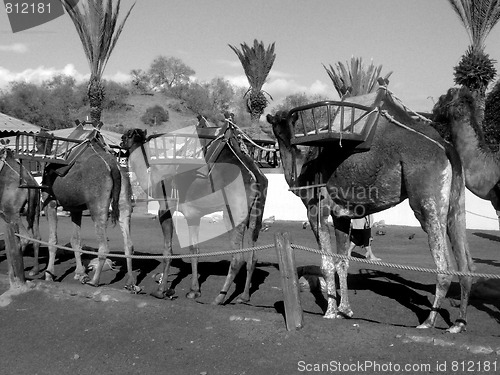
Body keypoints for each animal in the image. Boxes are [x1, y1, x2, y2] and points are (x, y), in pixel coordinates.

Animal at [120, 122, 268, 306]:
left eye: (129, 134)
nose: (121, 141)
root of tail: (255, 175)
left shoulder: (165, 208)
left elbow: (167, 250)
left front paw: (160, 291)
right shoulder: (193, 215)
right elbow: (194, 249)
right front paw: (193, 291)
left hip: (233, 210)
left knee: (238, 257)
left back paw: (219, 298)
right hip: (256, 213)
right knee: (252, 254)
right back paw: (244, 296)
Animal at [268, 86, 474, 334]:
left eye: (286, 123)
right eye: (277, 126)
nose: (283, 137)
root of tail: (446, 147)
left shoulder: (317, 210)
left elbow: (327, 263)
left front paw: (330, 312)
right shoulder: (341, 215)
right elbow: (341, 262)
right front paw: (345, 310)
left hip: (426, 200)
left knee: (443, 263)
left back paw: (428, 322)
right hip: (456, 202)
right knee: (466, 261)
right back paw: (458, 323)